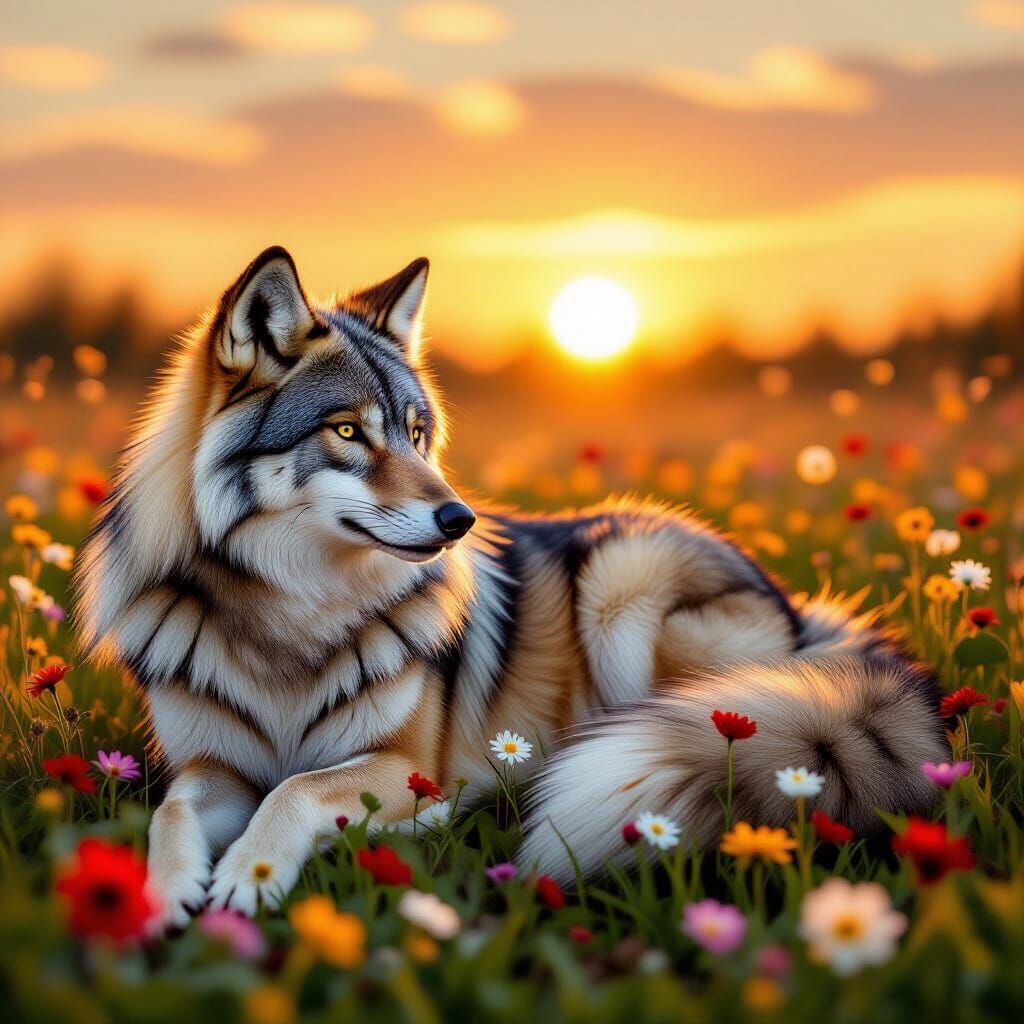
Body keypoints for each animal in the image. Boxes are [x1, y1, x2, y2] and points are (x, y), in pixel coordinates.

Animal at [76, 246, 946, 928]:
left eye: (416, 434)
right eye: (348, 431)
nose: (459, 518)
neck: (289, 617)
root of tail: (805, 623)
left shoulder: (402, 764)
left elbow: (293, 791)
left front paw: (251, 876)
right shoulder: (210, 767)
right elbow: (169, 815)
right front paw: (162, 894)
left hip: (624, 591)